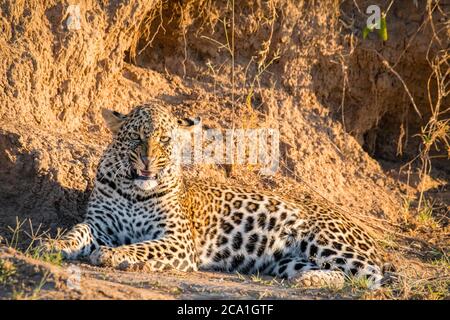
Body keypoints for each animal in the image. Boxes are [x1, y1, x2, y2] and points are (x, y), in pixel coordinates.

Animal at [46, 103, 390, 290]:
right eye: (136, 138)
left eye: (165, 139)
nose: (147, 161)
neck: (134, 191)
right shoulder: (100, 225)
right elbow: (77, 231)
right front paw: (54, 244)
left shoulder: (178, 240)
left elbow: (144, 247)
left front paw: (115, 255)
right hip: (288, 261)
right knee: (338, 275)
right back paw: (308, 280)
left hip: (325, 243)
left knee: (369, 278)